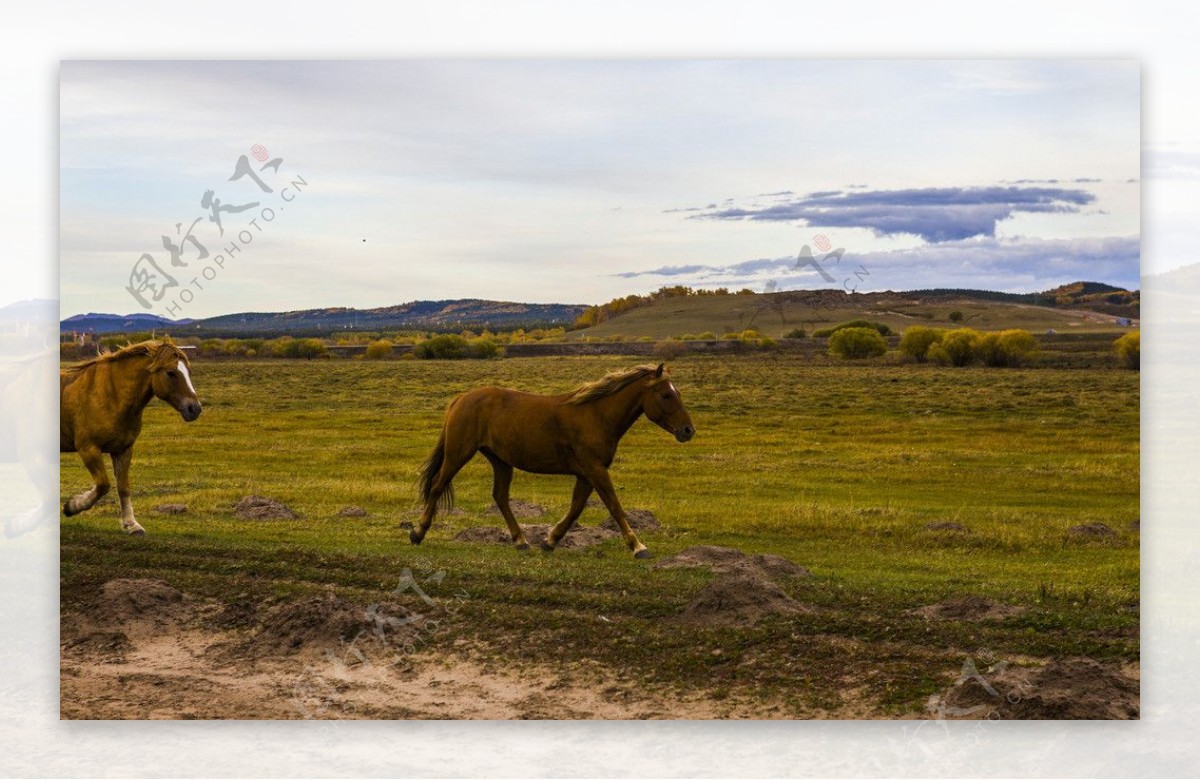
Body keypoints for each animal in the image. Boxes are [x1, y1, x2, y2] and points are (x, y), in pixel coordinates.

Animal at [61, 340, 202, 535]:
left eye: (189, 371)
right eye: (170, 373)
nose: (194, 409)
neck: (111, 396)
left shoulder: (123, 450)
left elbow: (123, 487)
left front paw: (131, 524)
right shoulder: (88, 449)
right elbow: (103, 484)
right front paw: (72, 506)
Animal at [415, 362, 696, 556]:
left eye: (679, 393)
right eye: (666, 395)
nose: (688, 431)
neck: (597, 415)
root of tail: (461, 398)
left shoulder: (587, 473)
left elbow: (576, 508)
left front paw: (549, 541)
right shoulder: (595, 469)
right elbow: (614, 506)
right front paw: (638, 547)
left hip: (500, 460)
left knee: (500, 496)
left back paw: (521, 541)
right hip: (458, 453)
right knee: (438, 485)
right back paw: (417, 533)